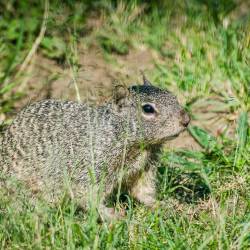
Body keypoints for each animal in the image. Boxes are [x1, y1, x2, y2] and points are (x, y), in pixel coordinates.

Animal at [0, 75, 189, 219]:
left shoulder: (145, 167)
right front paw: (112, 216)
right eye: (148, 108)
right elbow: (87, 196)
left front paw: (163, 204)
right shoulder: (91, 167)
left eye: (173, 96)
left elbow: (143, 191)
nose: (186, 120)